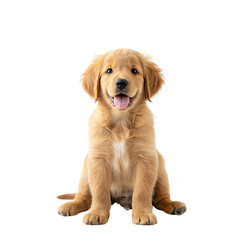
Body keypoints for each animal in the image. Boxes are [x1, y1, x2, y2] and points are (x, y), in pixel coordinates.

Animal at [57, 47, 187, 224]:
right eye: (109, 71)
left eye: (134, 71)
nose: (121, 82)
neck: (121, 122)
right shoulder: (98, 159)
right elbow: (99, 192)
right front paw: (97, 213)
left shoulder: (145, 158)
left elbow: (142, 192)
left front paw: (143, 214)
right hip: (85, 168)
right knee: (83, 196)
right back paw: (71, 205)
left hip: (160, 167)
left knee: (160, 198)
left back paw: (174, 205)